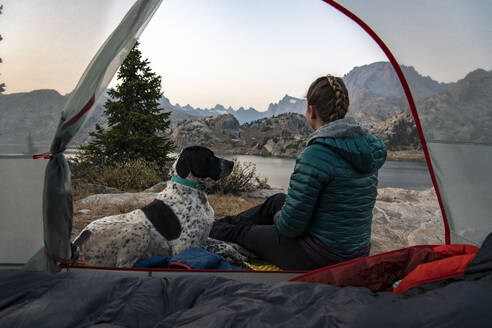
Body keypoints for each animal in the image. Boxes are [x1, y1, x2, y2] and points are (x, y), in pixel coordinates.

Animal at [71, 146, 238, 266]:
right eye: (210, 157)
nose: (232, 163)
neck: (192, 190)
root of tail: (79, 240)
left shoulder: (202, 240)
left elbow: (225, 246)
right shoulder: (183, 247)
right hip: (138, 230)